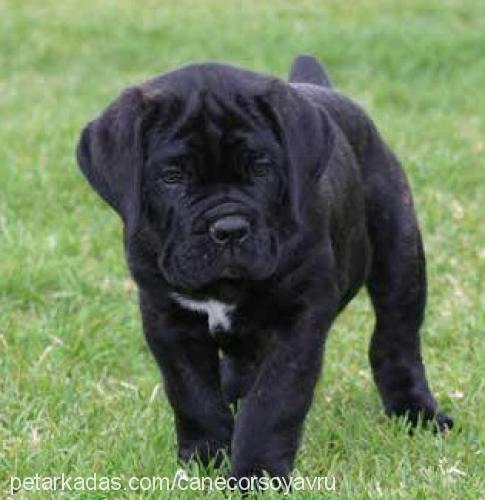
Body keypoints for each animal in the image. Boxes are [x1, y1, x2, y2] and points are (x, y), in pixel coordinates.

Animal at [74, 54, 450, 480]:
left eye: (261, 169)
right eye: (171, 177)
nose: (229, 228)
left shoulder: (296, 324)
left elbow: (273, 403)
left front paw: (256, 474)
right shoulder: (168, 320)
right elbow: (193, 395)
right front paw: (205, 459)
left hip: (399, 253)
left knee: (396, 338)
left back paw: (416, 412)